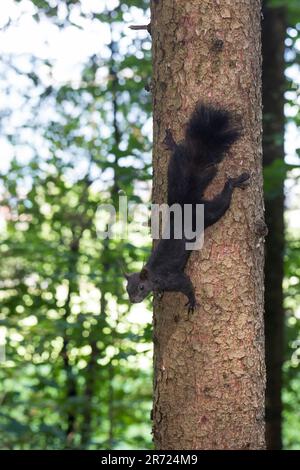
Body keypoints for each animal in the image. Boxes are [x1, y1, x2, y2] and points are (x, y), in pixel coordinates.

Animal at [125, 104, 250, 314]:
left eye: (141, 287)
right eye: (127, 289)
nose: (133, 300)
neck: (153, 275)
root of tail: (185, 205)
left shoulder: (172, 278)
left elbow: (187, 285)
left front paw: (191, 301)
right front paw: (159, 294)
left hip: (208, 213)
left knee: (221, 202)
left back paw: (234, 183)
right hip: (176, 166)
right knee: (180, 152)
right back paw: (172, 143)